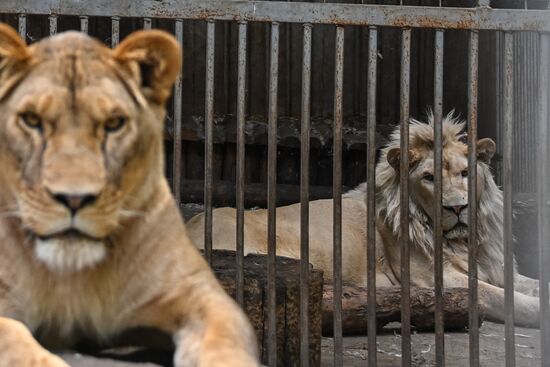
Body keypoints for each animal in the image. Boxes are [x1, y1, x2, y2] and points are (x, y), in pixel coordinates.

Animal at [0, 24, 260, 366]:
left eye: (114, 124)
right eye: (31, 120)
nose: (74, 199)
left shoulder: (195, 290)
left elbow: (223, 335)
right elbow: (11, 336)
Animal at [189, 114, 544, 328]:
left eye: (466, 173)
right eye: (429, 178)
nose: (457, 208)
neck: (462, 241)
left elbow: (531, 284)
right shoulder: (432, 281)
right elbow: (498, 297)